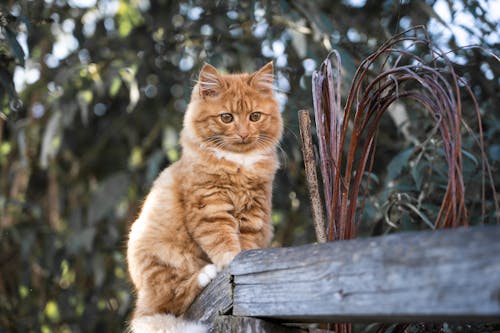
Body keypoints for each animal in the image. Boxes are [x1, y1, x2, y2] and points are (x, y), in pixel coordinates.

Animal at [127, 61, 284, 330]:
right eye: (226, 118)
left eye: (254, 116)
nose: (244, 134)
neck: (238, 164)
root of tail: (142, 301)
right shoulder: (210, 207)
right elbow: (223, 241)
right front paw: (229, 262)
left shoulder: (254, 211)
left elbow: (247, 243)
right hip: (154, 255)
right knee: (173, 297)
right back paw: (204, 275)